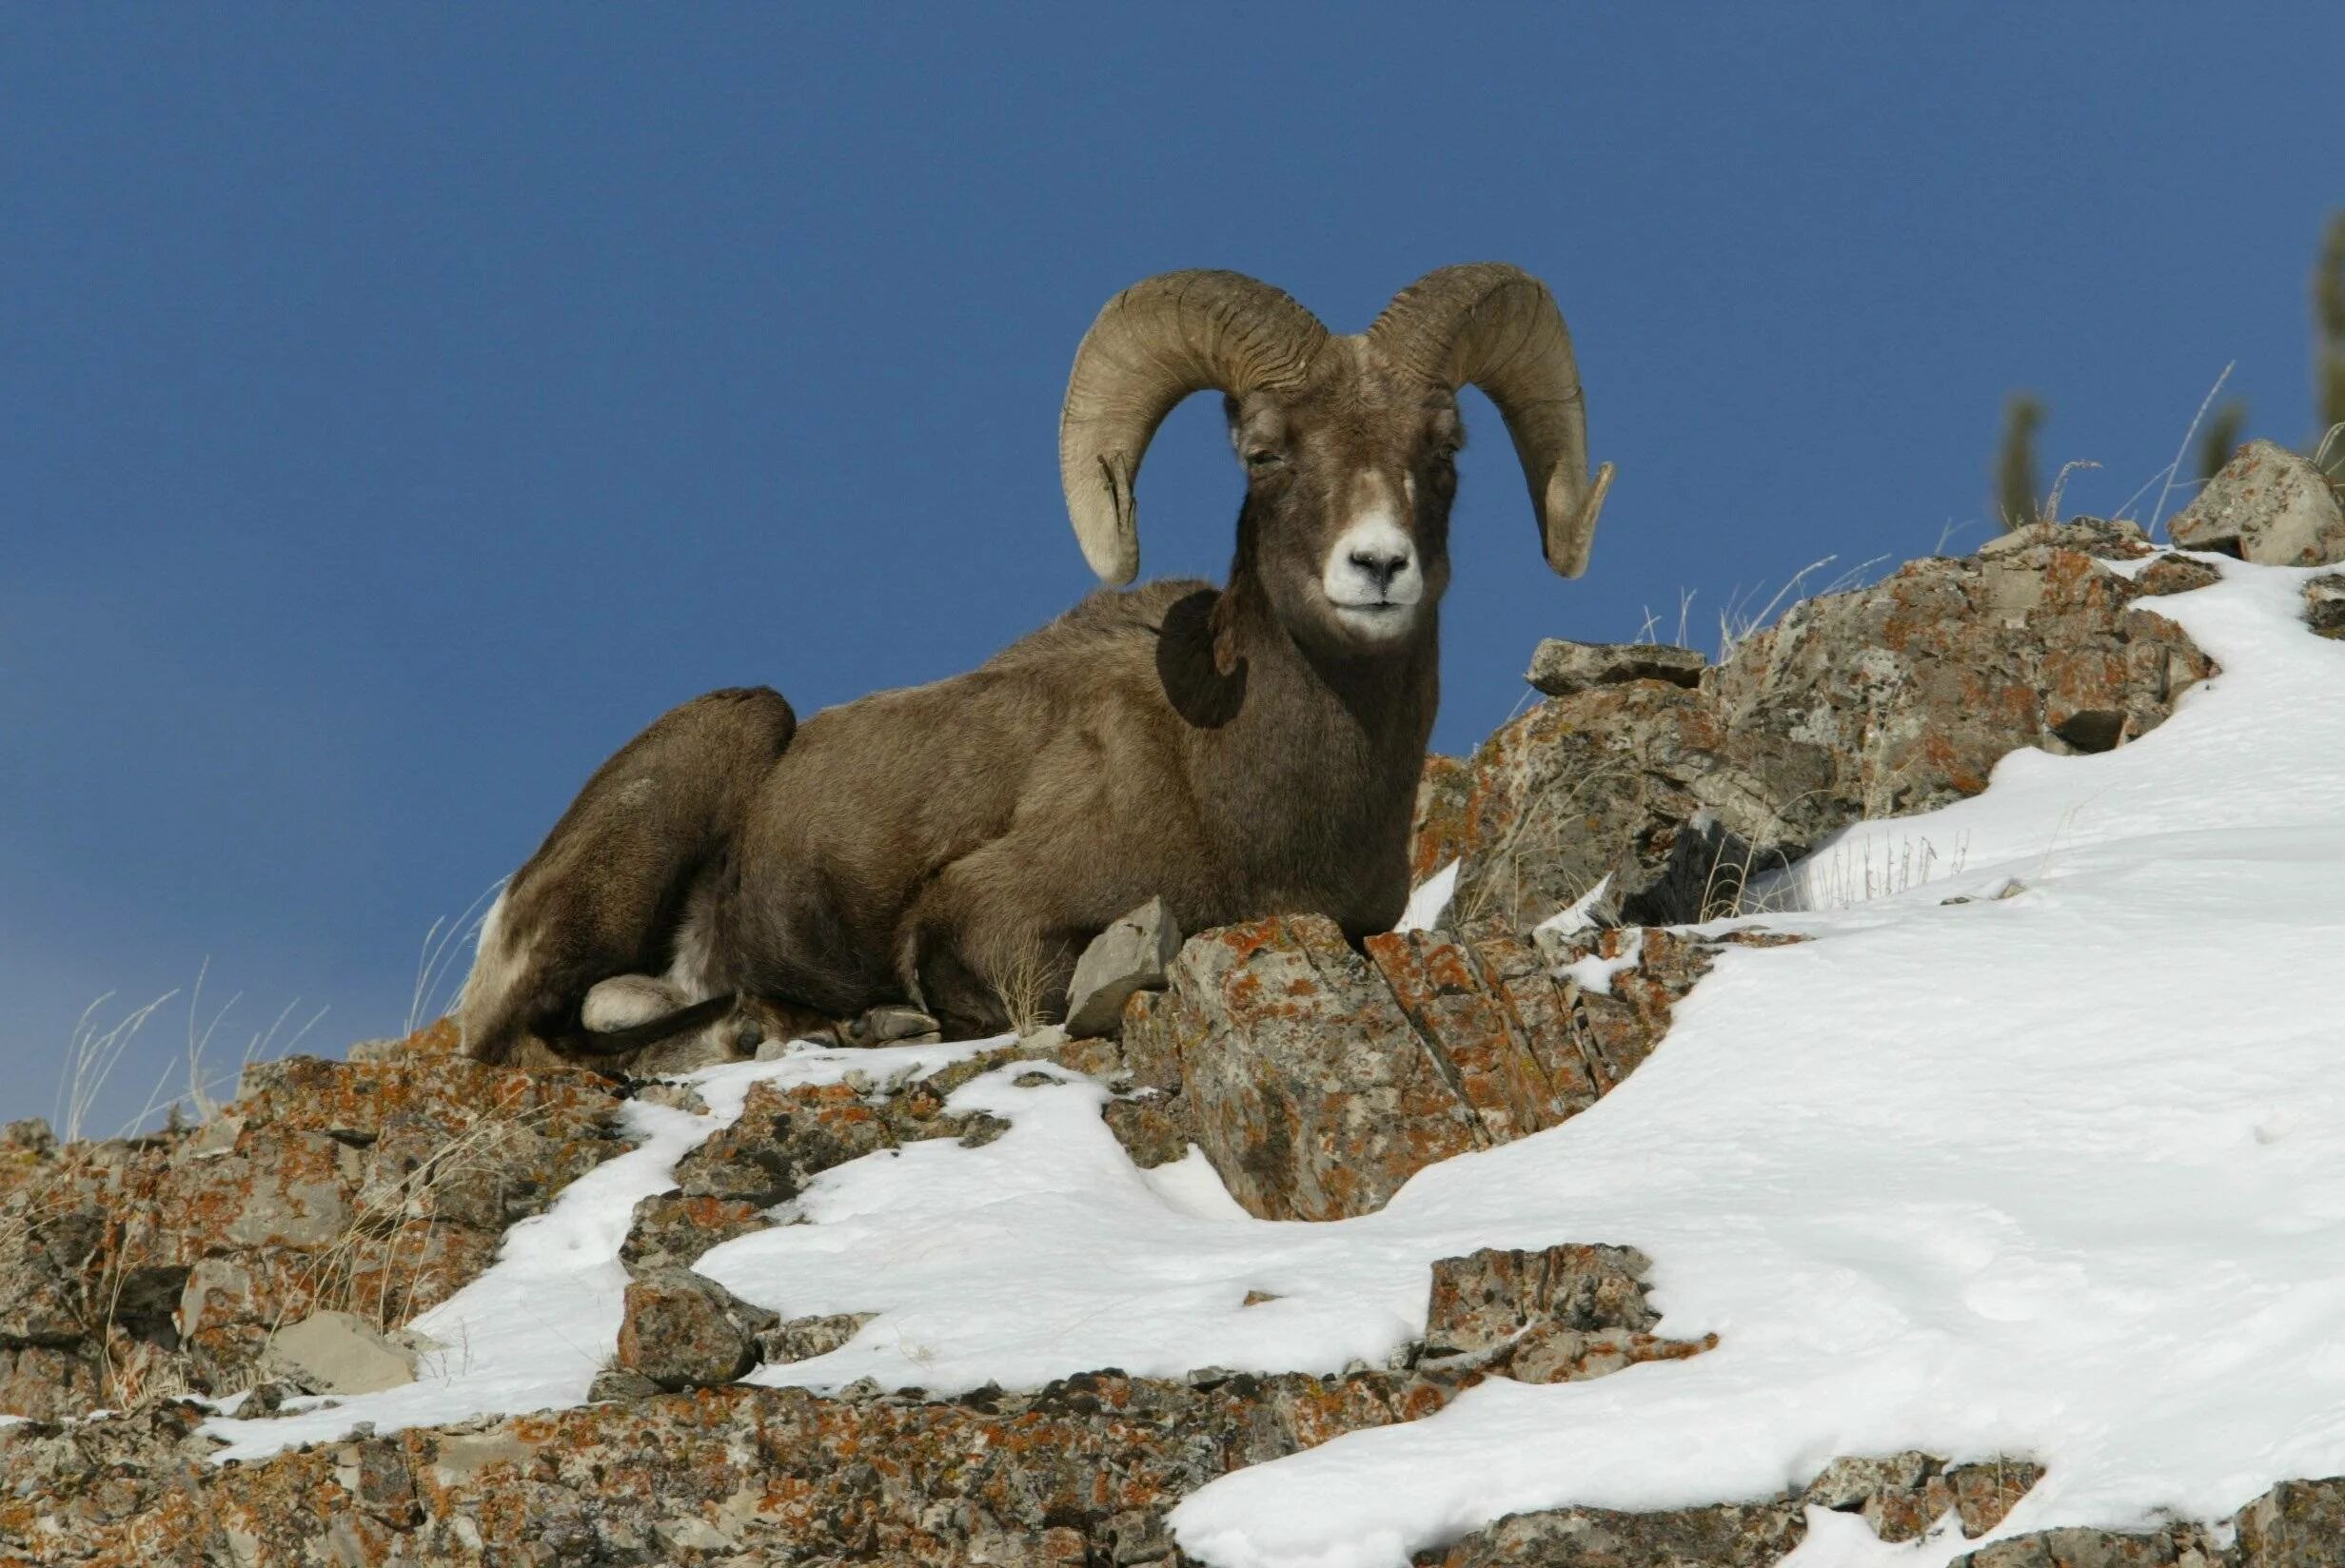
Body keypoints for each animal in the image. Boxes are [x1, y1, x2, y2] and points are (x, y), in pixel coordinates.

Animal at [466, 265, 1623, 1064]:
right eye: (1264, 451)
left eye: (1445, 450)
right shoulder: (994, 920)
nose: (1376, 566)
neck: (1238, 787)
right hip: (729, 735)